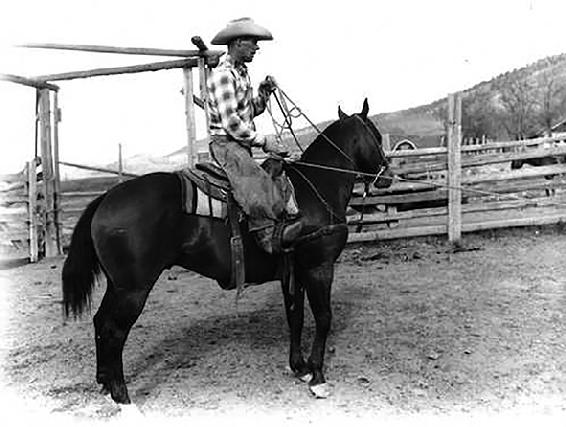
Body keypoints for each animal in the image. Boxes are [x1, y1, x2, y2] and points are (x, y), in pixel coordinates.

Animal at [61, 98, 390, 406]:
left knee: (100, 322)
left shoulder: (293, 272)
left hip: (117, 285)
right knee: (114, 331)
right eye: (375, 135)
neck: (316, 190)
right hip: (133, 289)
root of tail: (105, 198)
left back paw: (105, 383)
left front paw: (300, 367)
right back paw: (123, 398)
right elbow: (323, 317)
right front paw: (318, 377)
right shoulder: (319, 266)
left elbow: (295, 316)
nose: (386, 176)